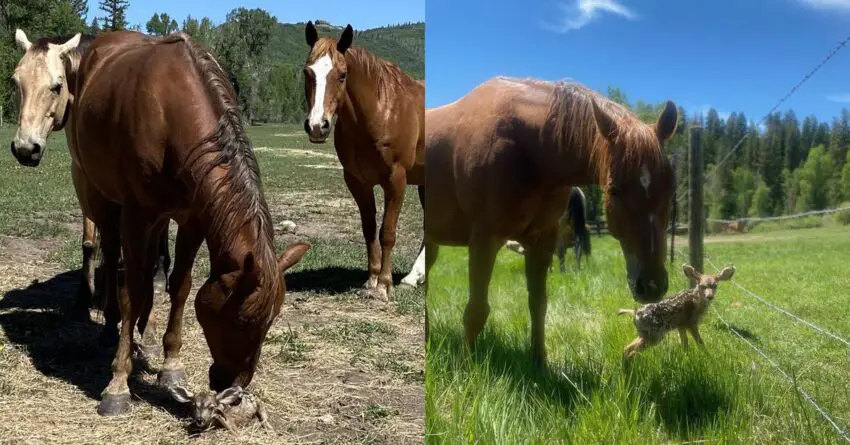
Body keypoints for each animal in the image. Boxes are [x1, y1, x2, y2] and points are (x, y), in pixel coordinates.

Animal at [9, 28, 171, 350]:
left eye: (57, 86)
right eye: (17, 81)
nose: (25, 149)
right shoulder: (83, 175)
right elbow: (91, 243)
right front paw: (85, 297)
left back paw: (160, 276)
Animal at [68, 32, 308, 416]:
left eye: (271, 321)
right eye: (244, 320)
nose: (234, 386)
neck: (172, 115)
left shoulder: (193, 218)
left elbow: (179, 286)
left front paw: (170, 366)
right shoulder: (136, 215)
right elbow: (131, 290)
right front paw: (118, 382)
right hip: (103, 199)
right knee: (112, 252)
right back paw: (111, 326)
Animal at [304, 22, 428, 300]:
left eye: (342, 75)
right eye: (307, 72)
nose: (317, 126)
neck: (381, 111)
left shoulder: (396, 179)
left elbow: (387, 232)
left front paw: (383, 285)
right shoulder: (357, 181)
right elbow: (369, 228)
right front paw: (371, 279)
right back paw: (414, 277)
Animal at [424, 77, 676, 364]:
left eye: (671, 188)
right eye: (614, 189)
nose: (652, 286)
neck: (527, 149)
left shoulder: (542, 242)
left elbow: (538, 304)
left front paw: (540, 363)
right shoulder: (483, 238)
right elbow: (476, 310)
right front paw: (466, 365)